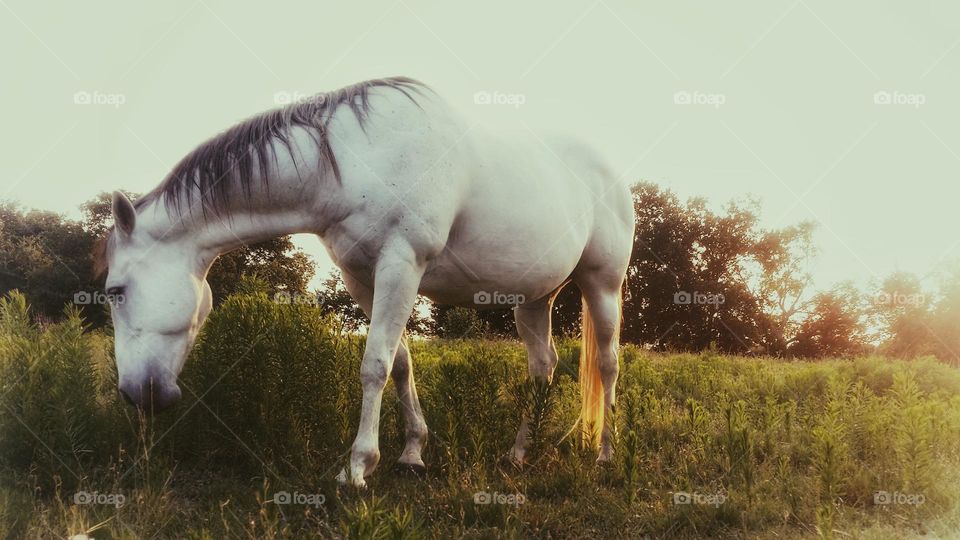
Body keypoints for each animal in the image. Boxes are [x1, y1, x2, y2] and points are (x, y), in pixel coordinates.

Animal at [95, 77, 636, 490]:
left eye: (116, 291)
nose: (136, 395)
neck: (355, 160)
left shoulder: (402, 263)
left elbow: (374, 364)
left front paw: (358, 467)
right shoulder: (362, 277)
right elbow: (399, 363)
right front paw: (412, 454)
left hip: (602, 284)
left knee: (607, 363)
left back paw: (605, 455)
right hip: (533, 297)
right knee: (543, 366)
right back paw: (519, 453)